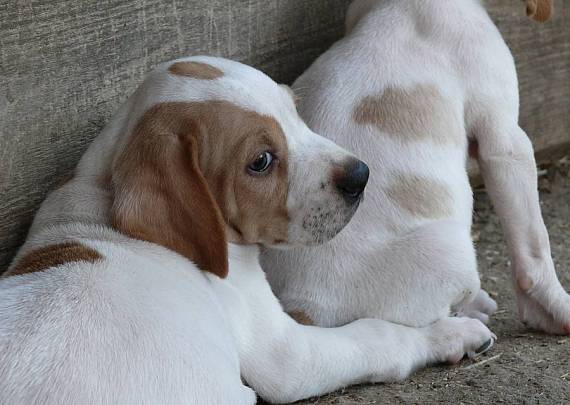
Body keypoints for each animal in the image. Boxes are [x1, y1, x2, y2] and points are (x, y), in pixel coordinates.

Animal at [0, 56, 492, 404]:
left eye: (296, 112)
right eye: (261, 162)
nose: (361, 176)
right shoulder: (284, 353)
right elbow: (378, 336)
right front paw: (449, 333)